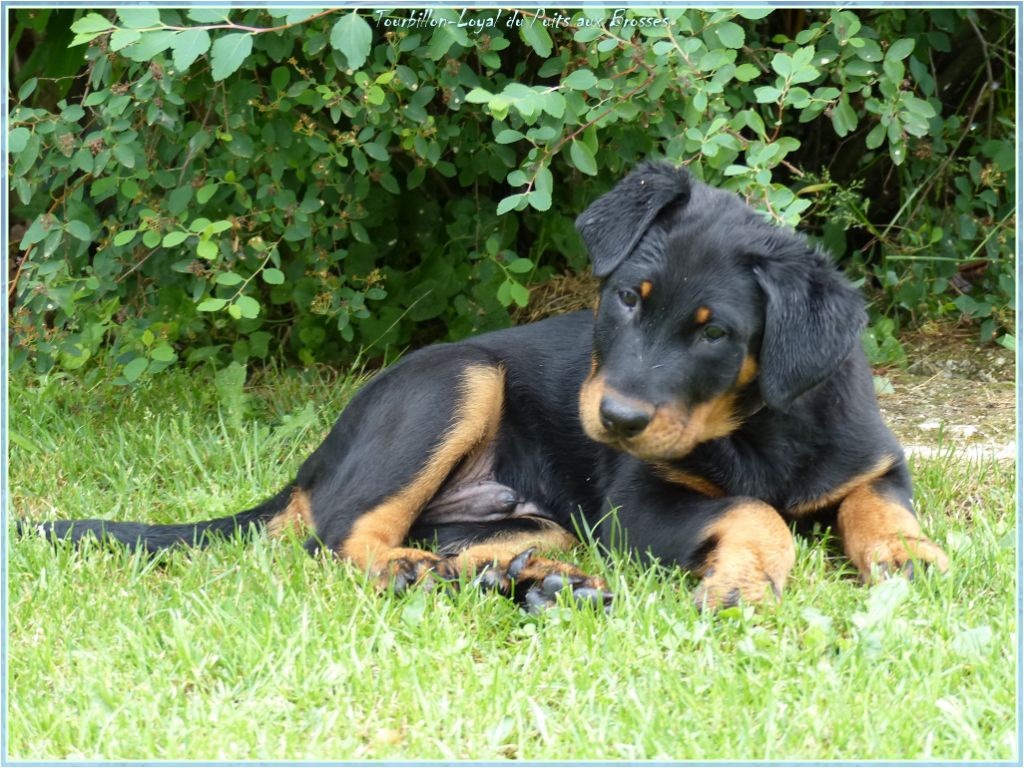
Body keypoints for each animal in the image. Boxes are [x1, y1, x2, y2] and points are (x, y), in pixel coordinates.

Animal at [23, 162, 949, 610]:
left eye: (714, 331)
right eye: (627, 297)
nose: (614, 418)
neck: (758, 429)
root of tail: (311, 464)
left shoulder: (874, 459)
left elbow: (878, 506)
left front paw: (910, 555)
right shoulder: (636, 505)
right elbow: (753, 510)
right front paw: (743, 582)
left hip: (541, 515)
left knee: (466, 541)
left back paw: (532, 581)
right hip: (460, 380)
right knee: (339, 531)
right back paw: (417, 574)